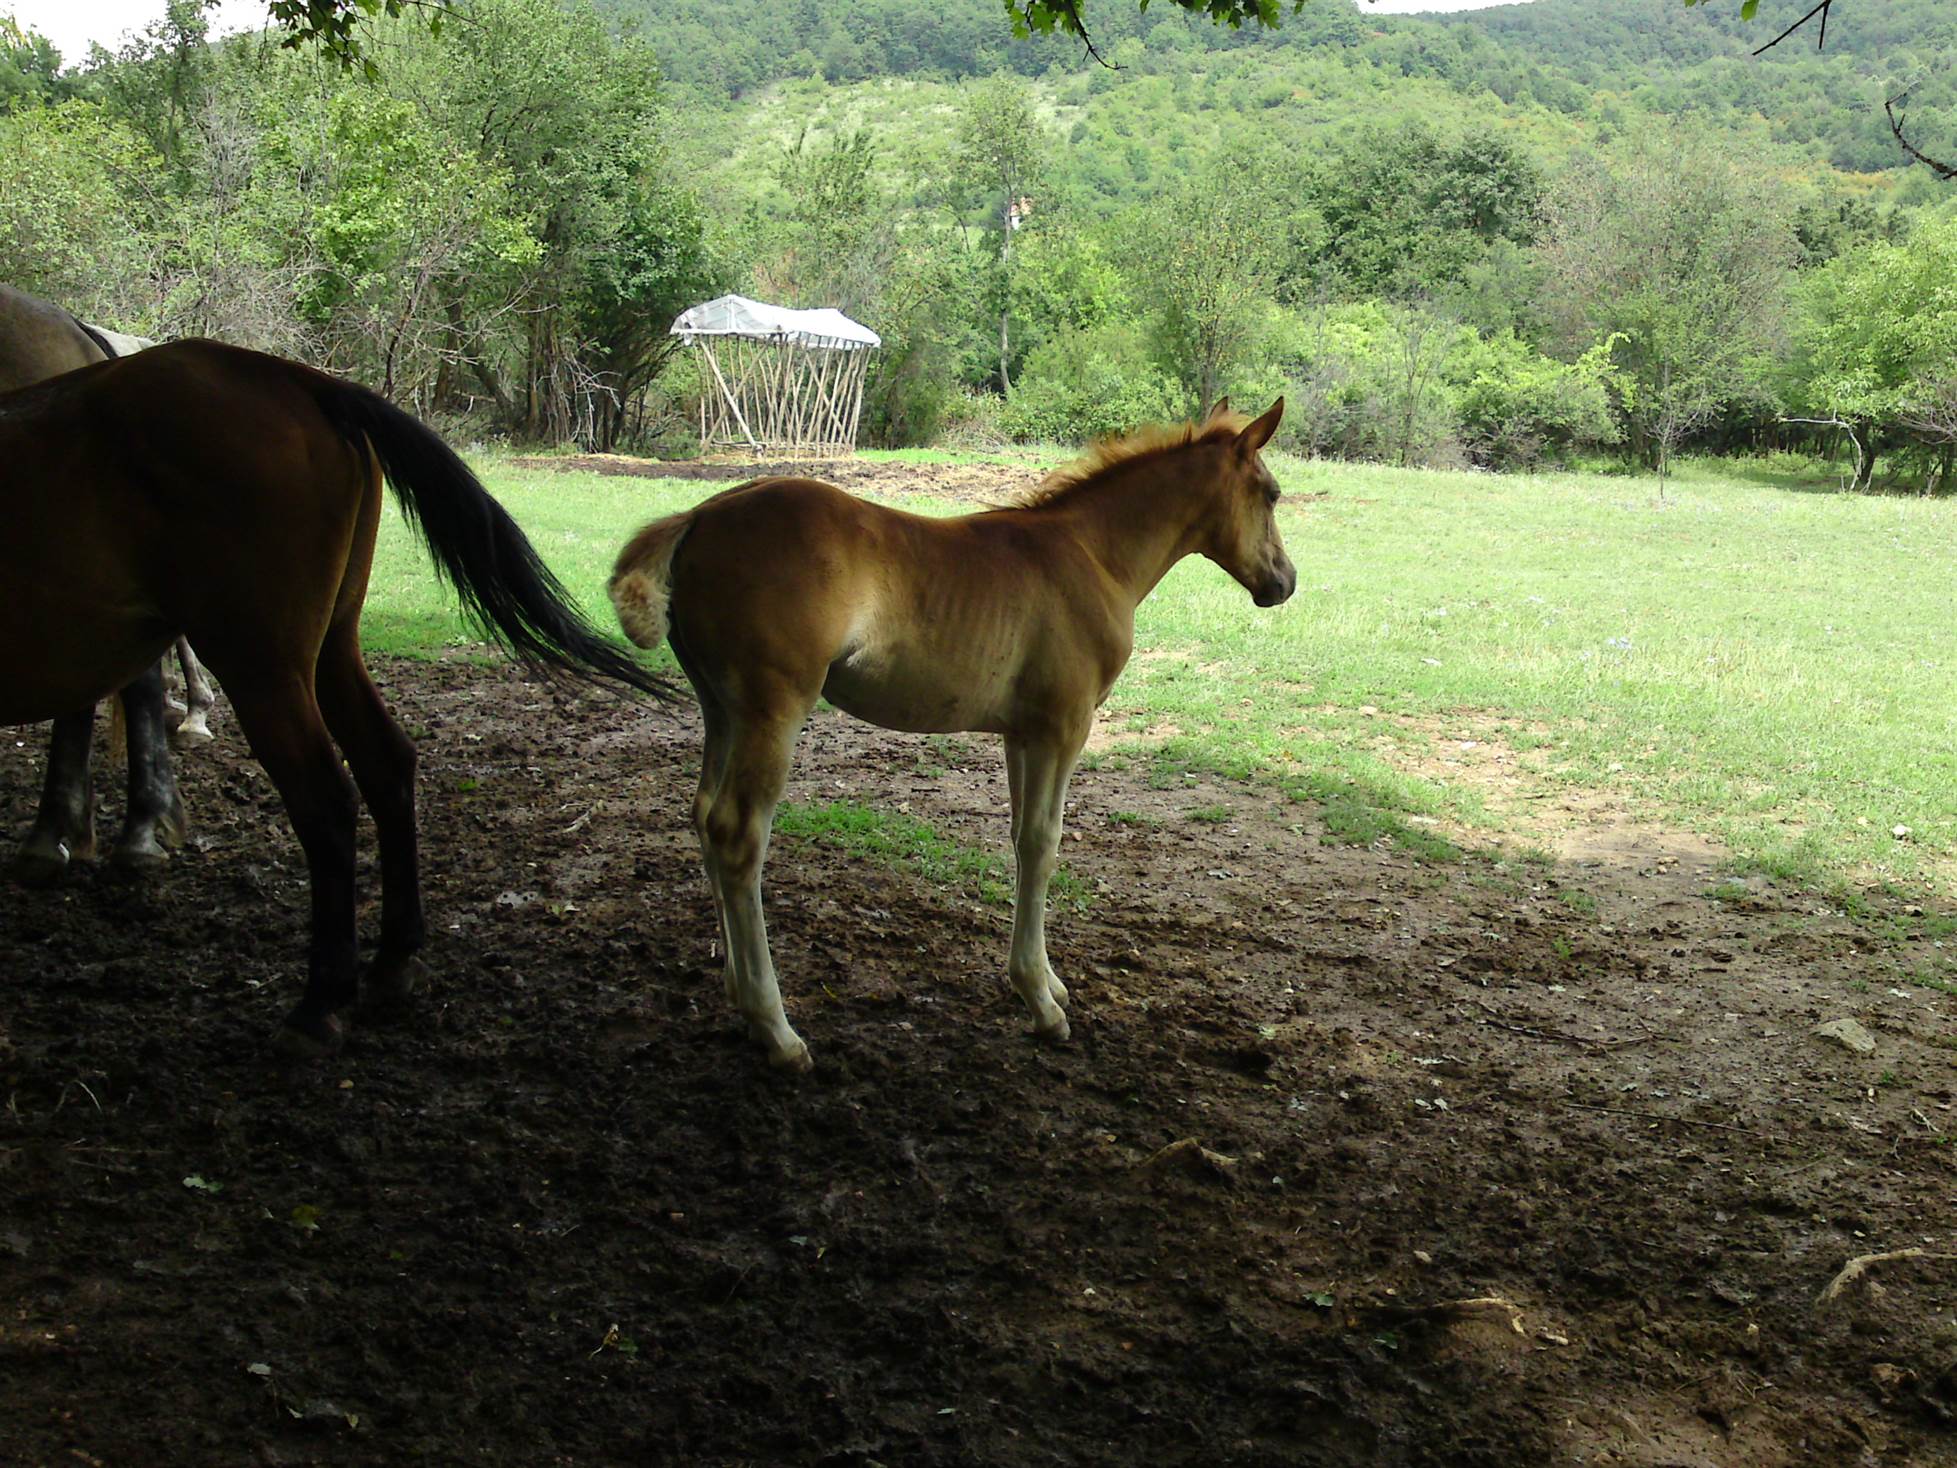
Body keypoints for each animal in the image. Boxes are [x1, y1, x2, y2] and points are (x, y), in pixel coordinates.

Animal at [609, 398, 1295, 1071]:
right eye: (1272, 493)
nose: (1284, 582)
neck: (1094, 554)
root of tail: (699, 515)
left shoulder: (1022, 733)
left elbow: (1020, 840)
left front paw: (1046, 979)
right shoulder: (1064, 726)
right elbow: (1043, 845)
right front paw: (1041, 1002)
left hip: (720, 709)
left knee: (704, 816)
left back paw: (738, 996)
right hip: (772, 711)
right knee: (738, 834)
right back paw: (776, 1029)